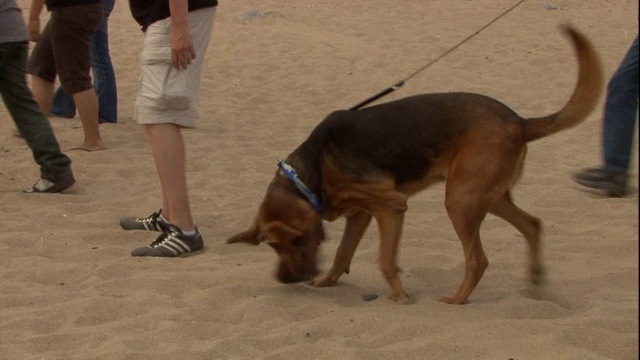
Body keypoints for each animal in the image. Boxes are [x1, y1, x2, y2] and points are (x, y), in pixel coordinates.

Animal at [228, 26, 604, 304]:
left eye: (292, 242)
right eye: (273, 247)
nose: (285, 280)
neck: (312, 171)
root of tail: (520, 122)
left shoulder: (391, 206)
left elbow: (384, 260)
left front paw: (400, 297)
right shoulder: (360, 214)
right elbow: (341, 255)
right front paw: (326, 283)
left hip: (460, 201)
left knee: (478, 259)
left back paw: (457, 300)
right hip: (487, 197)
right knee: (532, 225)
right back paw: (535, 279)